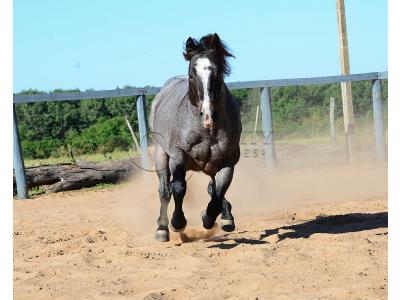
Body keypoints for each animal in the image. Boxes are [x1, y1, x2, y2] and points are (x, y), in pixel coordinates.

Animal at [149, 34, 241, 243]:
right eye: (192, 74)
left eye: (217, 72)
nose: (207, 115)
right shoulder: (178, 157)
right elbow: (178, 188)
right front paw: (177, 223)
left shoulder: (227, 162)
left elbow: (218, 192)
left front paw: (209, 218)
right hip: (160, 154)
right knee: (164, 189)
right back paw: (162, 229)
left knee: (212, 187)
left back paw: (226, 217)